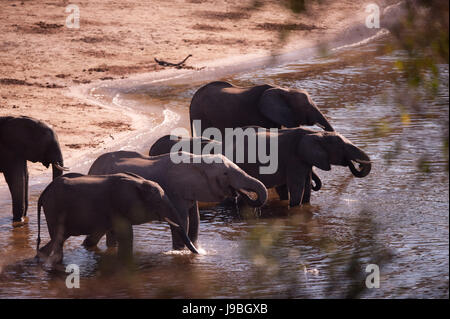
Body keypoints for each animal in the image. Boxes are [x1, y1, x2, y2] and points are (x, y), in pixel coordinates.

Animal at [37, 172, 200, 264]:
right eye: (158, 202)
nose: (201, 253)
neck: (139, 183)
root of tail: (43, 194)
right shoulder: (118, 207)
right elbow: (127, 235)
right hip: (53, 209)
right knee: (58, 241)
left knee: (57, 241)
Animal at [86, 152, 268, 252]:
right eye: (225, 173)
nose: (239, 194)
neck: (197, 161)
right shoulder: (174, 192)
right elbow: (183, 221)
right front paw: (180, 252)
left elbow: (195, 221)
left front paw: (196, 249)